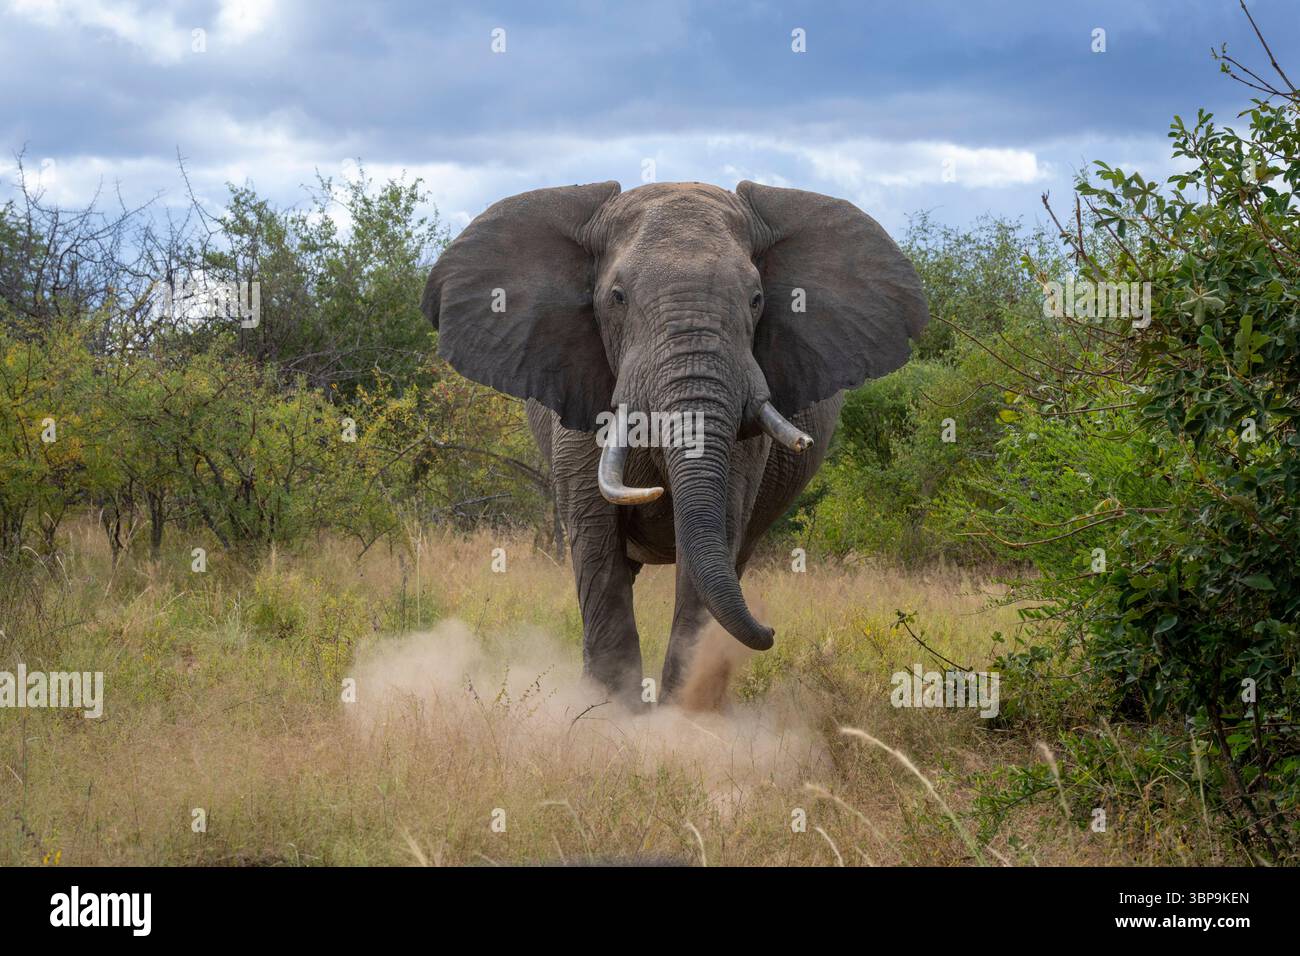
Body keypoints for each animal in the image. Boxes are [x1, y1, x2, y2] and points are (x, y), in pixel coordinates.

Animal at [421, 180, 928, 707]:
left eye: (756, 299)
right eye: (617, 298)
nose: (771, 630)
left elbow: (712, 536)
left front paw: (679, 718)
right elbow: (596, 541)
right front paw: (609, 714)